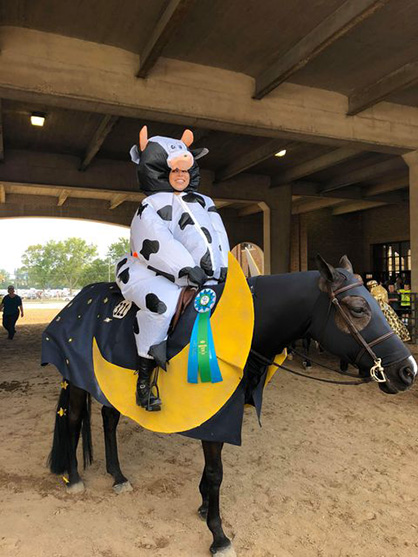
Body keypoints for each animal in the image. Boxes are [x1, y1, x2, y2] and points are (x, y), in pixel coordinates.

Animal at [45, 255, 414, 552]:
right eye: (358, 309)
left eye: (377, 304)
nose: (407, 370)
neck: (241, 327)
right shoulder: (214, 414)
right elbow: (216, 473)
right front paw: (218, 535)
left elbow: (210, 473)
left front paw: (203, 506)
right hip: (78, 379)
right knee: (74, 418)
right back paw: (74, 479)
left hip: (111, 385)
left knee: (108, 420)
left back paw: (118, 475)